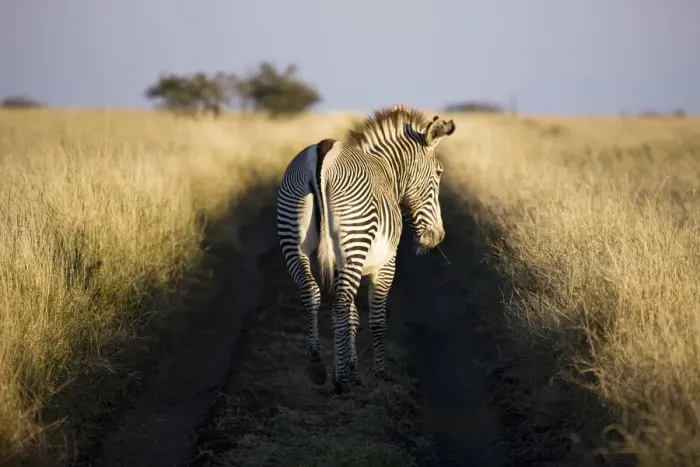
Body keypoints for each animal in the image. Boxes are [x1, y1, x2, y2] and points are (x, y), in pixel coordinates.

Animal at [276, 105, 456, 393]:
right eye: (439, 173)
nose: (436, 237)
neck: (386, 172)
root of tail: (323, 154)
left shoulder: (339, 267)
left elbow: (352, 319)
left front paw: (354, 371)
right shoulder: (385, 264)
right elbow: (375, 319)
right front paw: (377, 372)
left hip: (293, 238)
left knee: (312, 293)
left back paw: (317, 366)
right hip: (354, 241)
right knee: (338, 305)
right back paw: (339, 382)